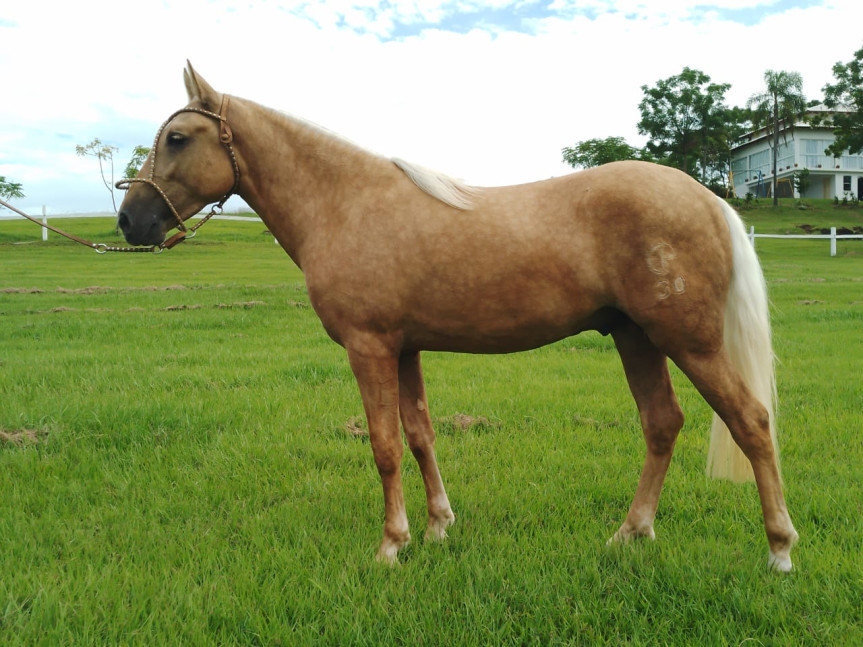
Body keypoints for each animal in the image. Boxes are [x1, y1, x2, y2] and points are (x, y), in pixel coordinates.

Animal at [115, 62, 796, 572]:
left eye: (178, 139)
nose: (129, 220)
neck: (345, 203)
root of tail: (707, 197)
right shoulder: (405, 348)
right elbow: (421, 436)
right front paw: (439, 526)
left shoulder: (369, 348)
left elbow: (385, 446)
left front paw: (392, 545)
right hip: (636, 338)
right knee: (662, 424)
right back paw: (630, 534)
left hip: (689, 342)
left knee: (752, 422)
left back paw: (779, 550)